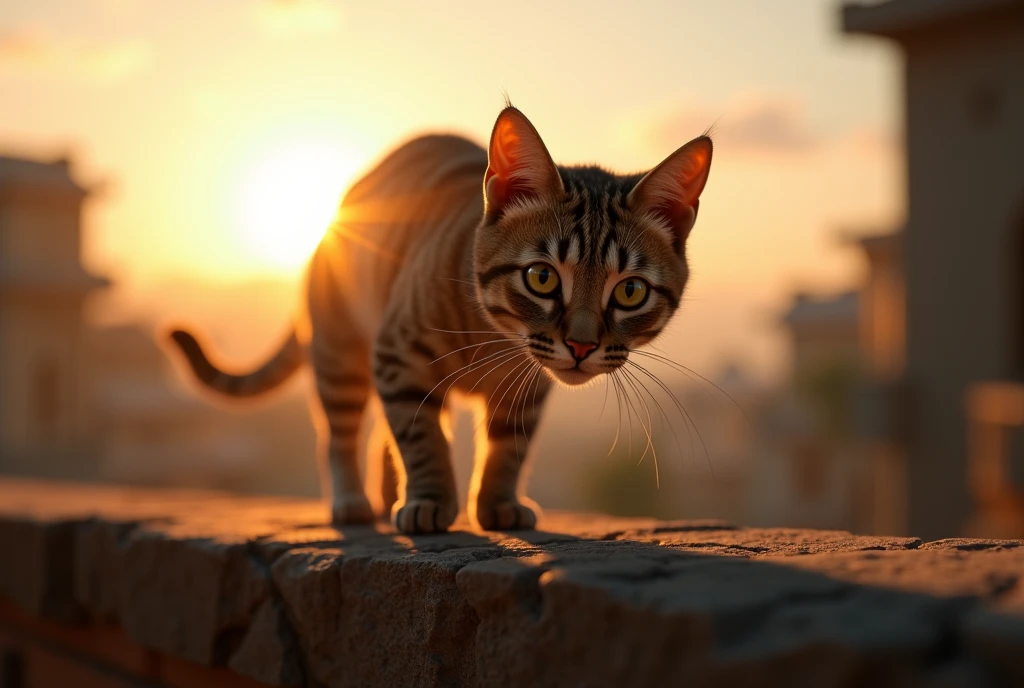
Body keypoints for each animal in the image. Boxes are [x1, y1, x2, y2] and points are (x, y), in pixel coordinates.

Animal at [167, 104, 712, 536]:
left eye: (630, 291)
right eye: (541, 277)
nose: (581, 346)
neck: (495, 340)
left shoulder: (528, 388)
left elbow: (508, 447)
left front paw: (496, 504)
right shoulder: (399, 357)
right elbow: (420, 437)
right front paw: (429, 500)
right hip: (341, 353)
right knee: (340, 435)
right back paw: (354, 501)